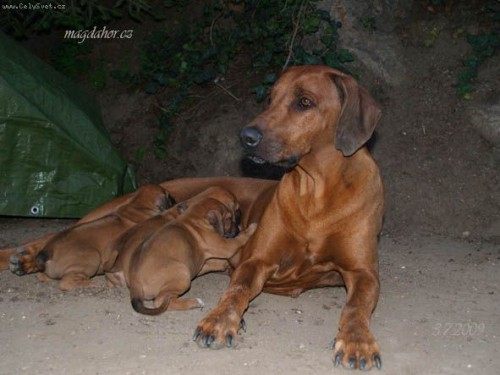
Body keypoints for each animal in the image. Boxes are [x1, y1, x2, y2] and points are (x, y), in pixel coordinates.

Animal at [33, 185, 174, 290]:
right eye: (169, 196)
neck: (138, 206)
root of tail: (47, 252)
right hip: (93, 257)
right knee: (65, 282)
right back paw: (91, 283)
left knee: (43, 276)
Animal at [118, 187, 256, 316]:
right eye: (230, 218)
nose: (237, 229)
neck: (194, 217)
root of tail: (134, 284)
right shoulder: (225, 245)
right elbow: (239, 240)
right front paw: (251, 228)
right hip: (183, 273)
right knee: (160, 301)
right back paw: (194, 302)